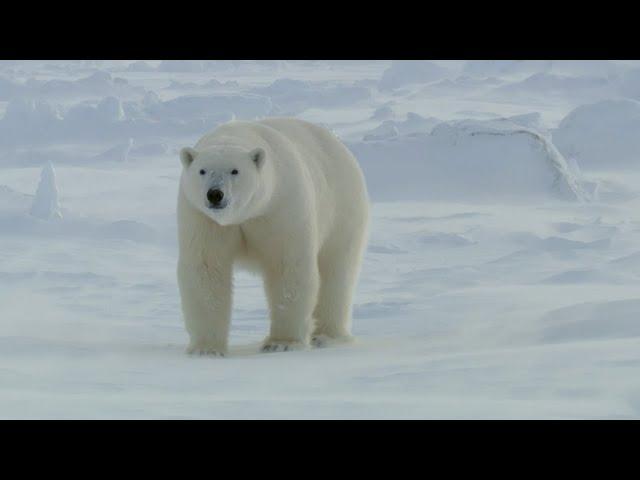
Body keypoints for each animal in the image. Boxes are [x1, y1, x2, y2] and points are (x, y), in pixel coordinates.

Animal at [176, 117, 370, 354]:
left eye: (235, 171)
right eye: (202, 171)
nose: (215, 194)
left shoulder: (281, 208)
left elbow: (287, 267)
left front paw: (282, 343)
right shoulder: (203, 219)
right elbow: (206, 269)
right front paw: (206, 349)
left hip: (342, 209)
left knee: (337, 271)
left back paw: (327, 336)